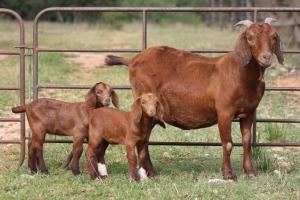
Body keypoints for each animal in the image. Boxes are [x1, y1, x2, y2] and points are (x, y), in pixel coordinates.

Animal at [105, 18, 284, 180]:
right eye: (250, 37)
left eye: (274, 36)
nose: (266, 57)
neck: (241, 74)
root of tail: (132, 60)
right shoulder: (224, 112)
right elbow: (227, 143)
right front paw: (228, 174)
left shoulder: (248, 112)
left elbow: (246, 141)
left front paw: (250, 171)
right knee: (144, 140)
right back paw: (150, 172)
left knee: (145, 139)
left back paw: (151, 172)